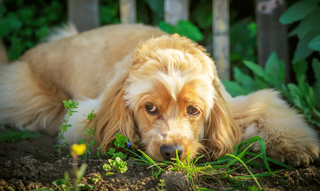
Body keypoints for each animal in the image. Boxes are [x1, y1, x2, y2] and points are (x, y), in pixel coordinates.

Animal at [0, 23, 318, 166]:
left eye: (193, 110)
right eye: (150, 108)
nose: (171, 151)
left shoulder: (236, 104)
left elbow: (269, 111)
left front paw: (297, 146)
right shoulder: (84, 115)